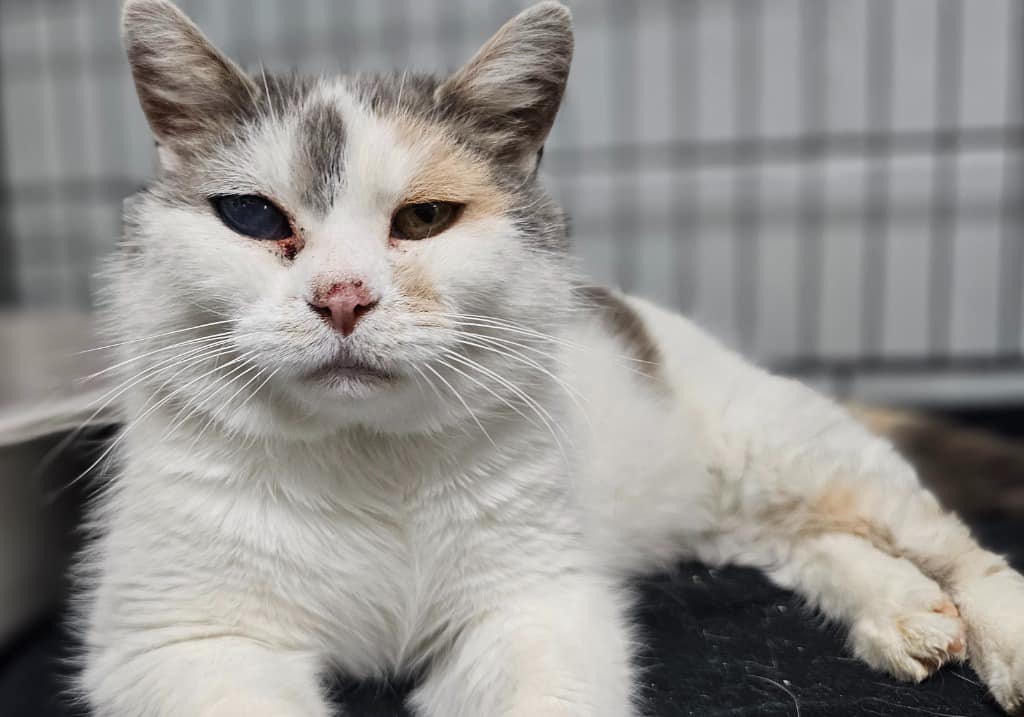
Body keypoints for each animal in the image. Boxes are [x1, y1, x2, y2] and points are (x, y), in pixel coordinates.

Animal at [81, 1, 1024, 717]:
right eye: (251, 215)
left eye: (423, 219)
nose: (342, 296)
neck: (362, 461)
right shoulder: (181, 644)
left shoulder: (541, 609)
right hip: (727, 516)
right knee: (813, 545)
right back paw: (903, 614)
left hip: (797, 454)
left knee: (953, 544)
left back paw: (996, 637)